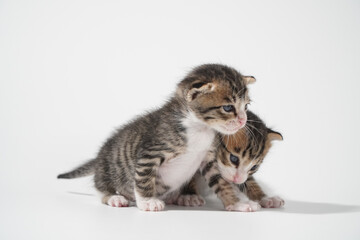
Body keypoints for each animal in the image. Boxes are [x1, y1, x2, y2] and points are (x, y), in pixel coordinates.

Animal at [57, 64, 256, 212]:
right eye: (228, 108)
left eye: (246, 106)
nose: (243, 120)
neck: (199, 128)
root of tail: (98, 157)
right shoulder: (150, 153)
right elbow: (144, 179)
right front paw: (147, 202)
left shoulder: (209, 161)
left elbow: (221, 184)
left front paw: (237, 203)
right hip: (107, 170)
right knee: (101, 188)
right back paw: (114, 197)